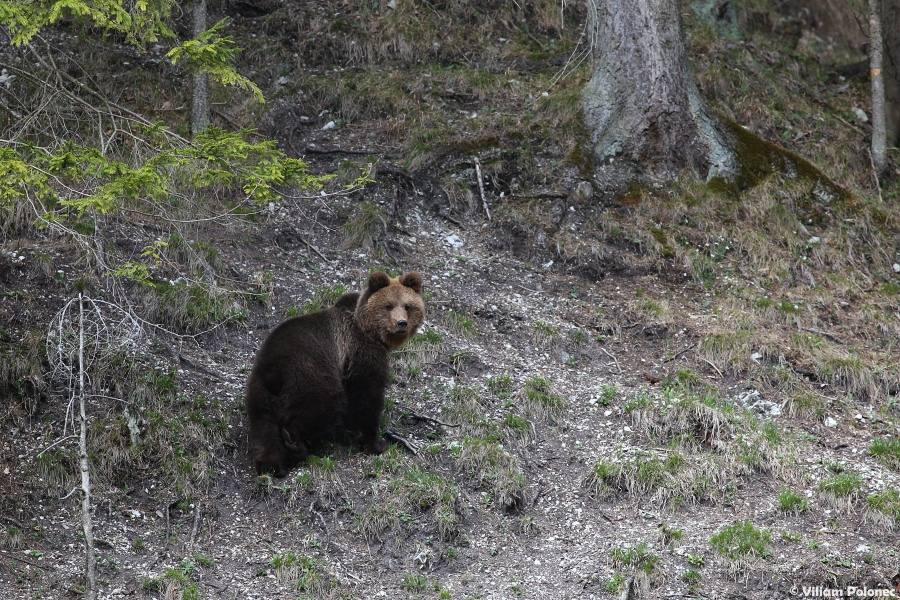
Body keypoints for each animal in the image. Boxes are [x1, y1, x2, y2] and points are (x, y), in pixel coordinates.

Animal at [246, 270, 426, 474]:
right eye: (388, 306)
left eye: (407, 306)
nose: (401, 323)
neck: (370, 331)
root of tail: (273, 370)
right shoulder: (360, 352)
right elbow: (367, 396)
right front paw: (376, 443)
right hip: (311, 374)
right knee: (322, 405)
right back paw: (295, 444)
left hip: (260, 393)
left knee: (264, 430)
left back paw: (273, 465)